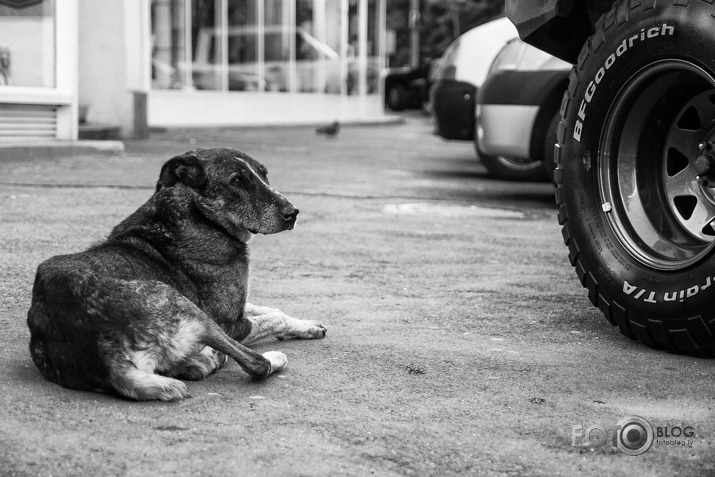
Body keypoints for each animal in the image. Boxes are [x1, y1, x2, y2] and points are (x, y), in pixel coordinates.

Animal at [25, 147, 328, 400]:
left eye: (264, 174)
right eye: (236, 181)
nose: (293, 212)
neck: (198, 214)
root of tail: (108, 356)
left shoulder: (235, 309)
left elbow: (270, 308)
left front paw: (307, 325)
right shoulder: (230, 323)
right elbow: (275, 317)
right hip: (180, 302)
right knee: (256, 363)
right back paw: (248, 357)